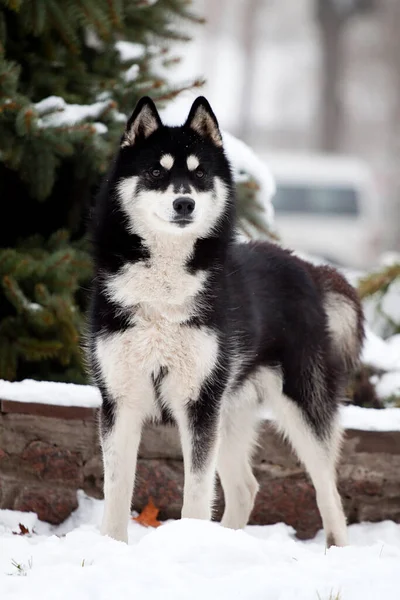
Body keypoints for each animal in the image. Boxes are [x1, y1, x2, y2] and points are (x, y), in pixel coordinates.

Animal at [89, 97, 364, 548]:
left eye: (199, 172)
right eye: (156, 172)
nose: (184, 204)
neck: (164, 284)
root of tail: (306, 267)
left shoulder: (198, 403)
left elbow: (197, 493)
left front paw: (189, 542)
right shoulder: (121, 400)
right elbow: (116, 491)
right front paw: (112, 548)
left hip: (299, 406)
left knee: (328, 487)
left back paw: (337, 547)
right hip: (230, 411)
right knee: (246, 487)